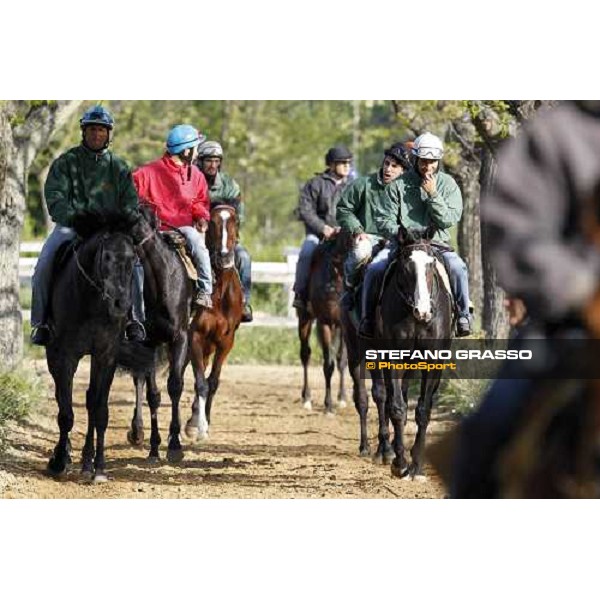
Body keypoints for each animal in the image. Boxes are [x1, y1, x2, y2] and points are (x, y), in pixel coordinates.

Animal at [45, 223, 142, 480]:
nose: (121, 305)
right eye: (106, 256)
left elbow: (99, 410)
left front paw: (99, 467)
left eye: (133, 258)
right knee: (61, 399)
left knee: (90, 401)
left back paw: (87, 461)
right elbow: (66, 413)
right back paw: (66, 454)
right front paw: (59, 461)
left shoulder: (106, 356)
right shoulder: (65, 357)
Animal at [126, 206, 195, 464]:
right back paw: (137, 431)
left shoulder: (181, 337)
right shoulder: (148, 341)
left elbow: (175, 385)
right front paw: (154, 448)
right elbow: (153, 394)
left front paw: (174, 445)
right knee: (139, 379)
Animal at [184, 204, 243, 438]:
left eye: (235, 221)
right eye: (213, 223)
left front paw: (202, 419)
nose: (225, 257)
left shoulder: (226, 342)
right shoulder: (195, 337)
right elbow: (201, 382)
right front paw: (199, 427)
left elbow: (213, 381)